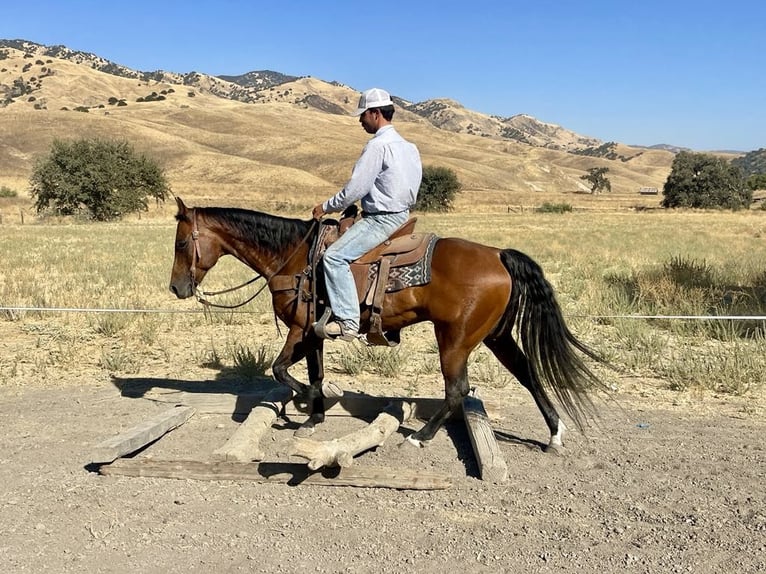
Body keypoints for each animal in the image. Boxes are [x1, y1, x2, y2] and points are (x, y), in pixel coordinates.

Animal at [169, 197, 608, 451]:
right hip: (496, 337)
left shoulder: (299, 329)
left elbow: (282, 370)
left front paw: (304, 404)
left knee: (457, 390)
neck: (294, 257)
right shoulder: (314, 333)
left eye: (180, 242)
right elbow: (314, 373)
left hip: (455, 339)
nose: (176, 287)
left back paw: (420, 436)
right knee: (528, 373)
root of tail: (498, 254)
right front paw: (313, 416)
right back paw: (554, 433)